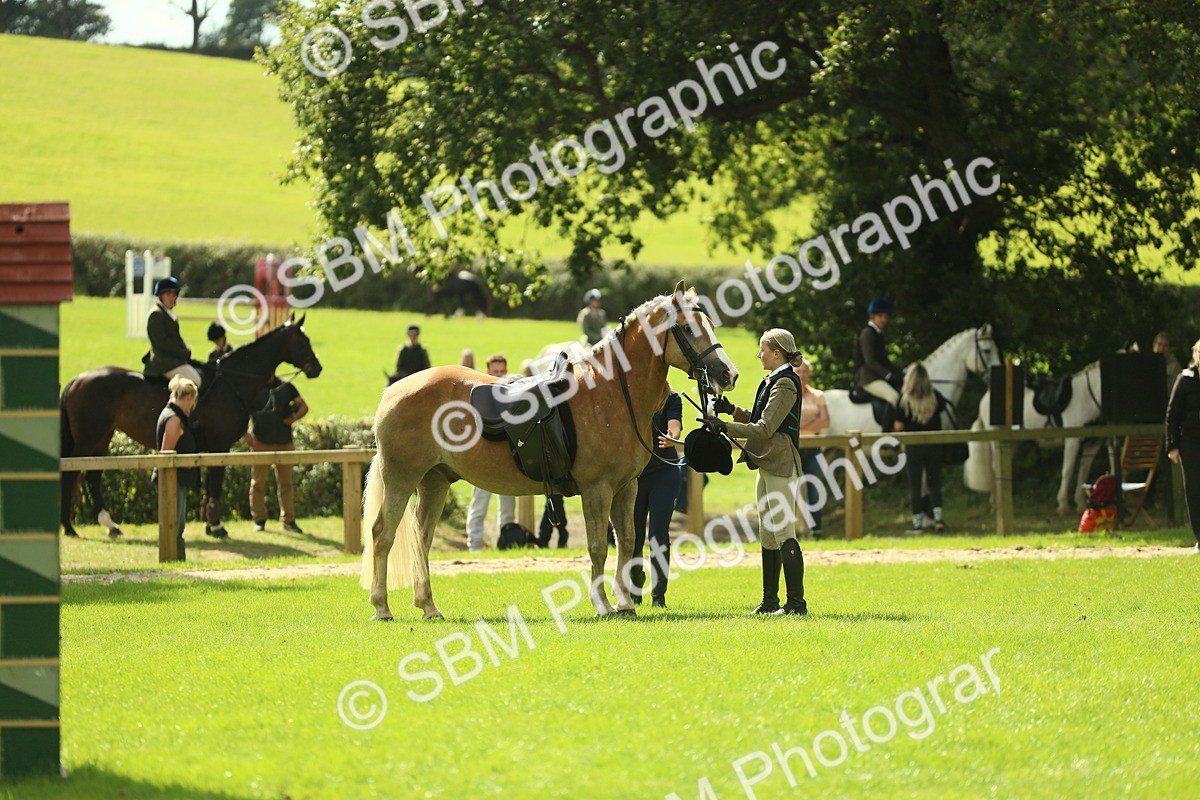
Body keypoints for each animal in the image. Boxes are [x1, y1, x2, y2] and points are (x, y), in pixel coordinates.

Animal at [60, 317, 322, 538]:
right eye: (303, 341)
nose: (317, 368)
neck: (233, 381)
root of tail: (76, 380)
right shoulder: (219, 445)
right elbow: (216, 483)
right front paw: (216, 526)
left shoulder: (209, 449)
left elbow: (209, 485)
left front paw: (208, 523)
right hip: (89, 438)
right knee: (72, 472)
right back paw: (69, 527)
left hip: (103, 436)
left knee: (93, 476)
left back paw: (110, 525)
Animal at [360, 282, 738, 620]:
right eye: (687, 328)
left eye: (710, 324)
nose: (728, 373)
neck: (611, 393)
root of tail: (395, 390)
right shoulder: (597, 490)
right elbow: (598, 546)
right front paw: (603, 604)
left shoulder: (626, 488)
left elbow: (627, 541)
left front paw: (625, 603)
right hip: (401, 479)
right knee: (383, 534)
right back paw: (381, 607)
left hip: (434, 481)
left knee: (421, 538)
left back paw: (428, 606)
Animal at [963, 356, 1109, 514]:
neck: (1087, 396)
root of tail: (985, 398)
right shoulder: (1072, 440)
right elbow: (1068, 470)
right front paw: (1063, 506)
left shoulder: (1093, 443)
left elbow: (1084, 472)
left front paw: (1081, 504)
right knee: (995, 469)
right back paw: (997, 506)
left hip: (1011, 443)